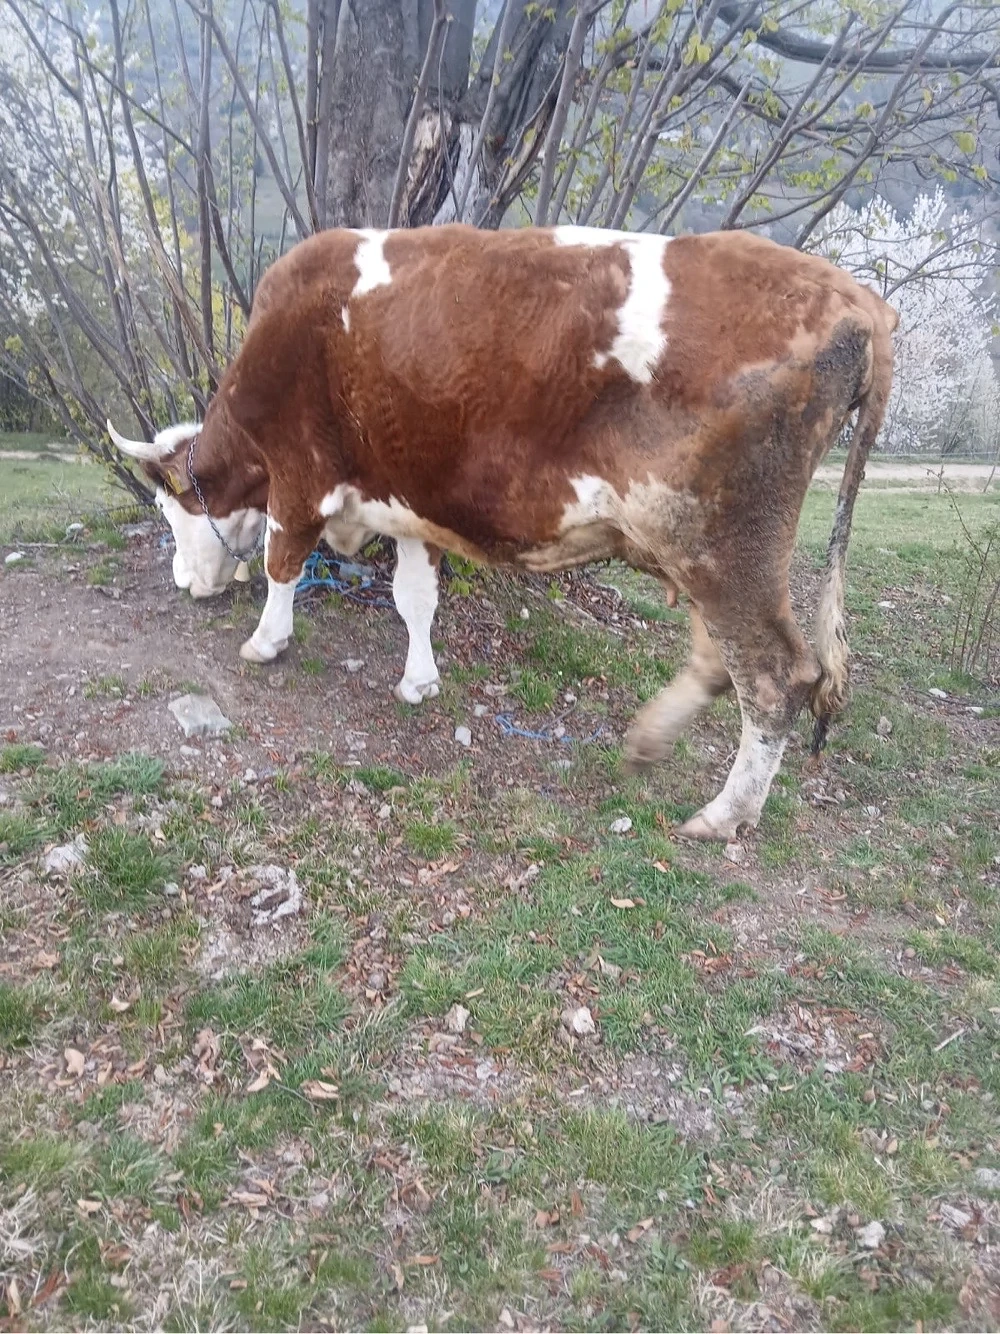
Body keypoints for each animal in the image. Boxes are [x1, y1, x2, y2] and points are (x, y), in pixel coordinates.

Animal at [107, 223, 897, 842]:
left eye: (168, 509)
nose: (183, 581)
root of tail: (857, 300)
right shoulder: (406, 498)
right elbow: (415, 596)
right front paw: (420, 679)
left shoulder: (300, 472)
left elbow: (282, 561)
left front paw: (265, 641)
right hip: (697, 549)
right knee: (718, 660)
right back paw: (649, 743)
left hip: (724, 545)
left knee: (774, 676)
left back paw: (724, 814)